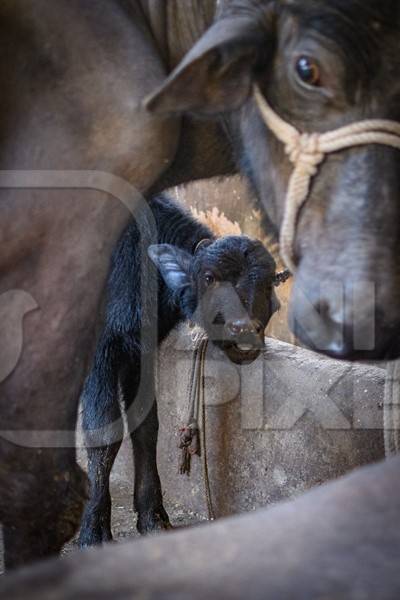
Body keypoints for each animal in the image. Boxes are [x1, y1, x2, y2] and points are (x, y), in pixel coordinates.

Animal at [79, 195, 284, 548]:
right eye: (209, 277)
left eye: (269, 282)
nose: (243, 328)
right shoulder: (99, 351)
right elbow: (102, 432)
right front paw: (93, 529)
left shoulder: (142, 350)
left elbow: (147, 426)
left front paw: (153, 515)